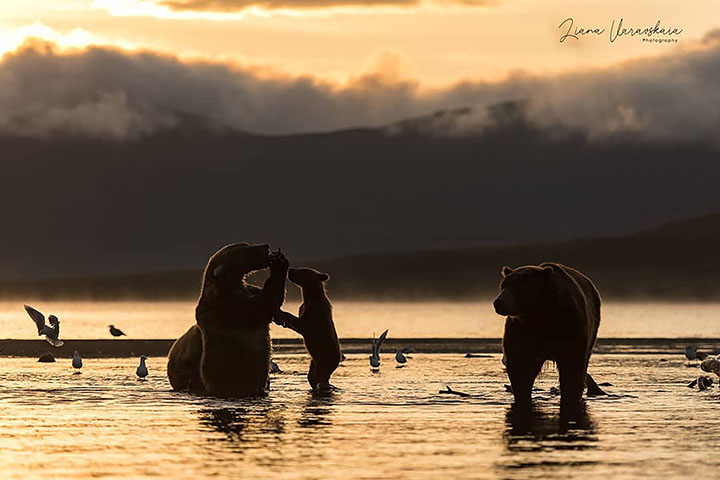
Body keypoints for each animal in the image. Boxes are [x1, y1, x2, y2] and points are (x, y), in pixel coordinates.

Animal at [167, 244, 288, 398]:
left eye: (247, 243)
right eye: (246, 248)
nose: (265, 246)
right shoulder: (228, 308)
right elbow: (260, 308)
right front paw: (279, 264)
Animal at [492, 260, 600, 410]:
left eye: (518, 286)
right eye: (503, 285)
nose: (498, 302)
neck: (540, 313)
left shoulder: (569, 324)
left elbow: (571, 364)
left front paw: (570, 397)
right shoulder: (522, 330)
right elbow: (520, 365)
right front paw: (522, 396)